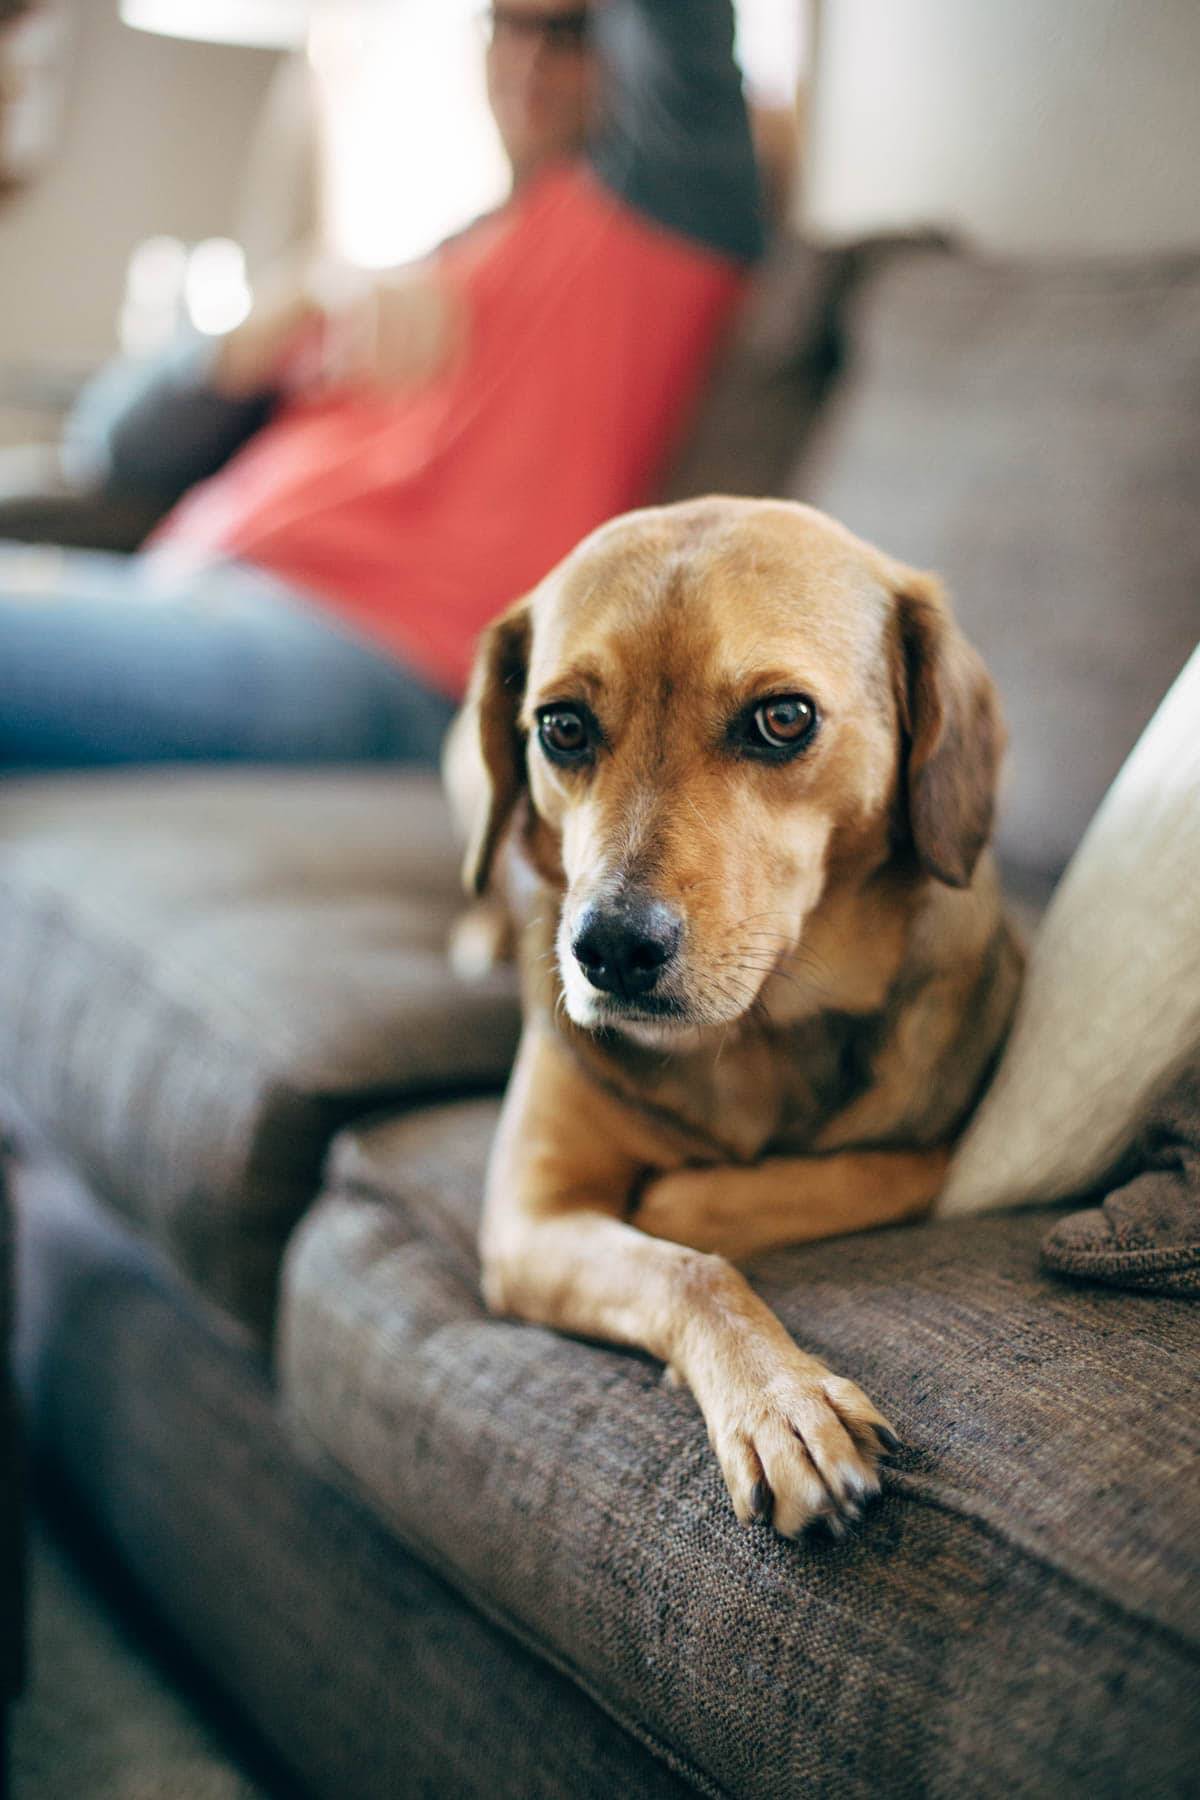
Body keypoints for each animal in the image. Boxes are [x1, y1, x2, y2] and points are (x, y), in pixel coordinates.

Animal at [446, 500, 1029, 1540]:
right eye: (561, 726)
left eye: (783, 718)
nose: (608, 949)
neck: (751, 1035)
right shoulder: (526, 1220)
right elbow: (693, 1273)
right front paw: (779, 1401)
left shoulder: (949, 1143)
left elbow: (879, 1174)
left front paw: (685, 1205)